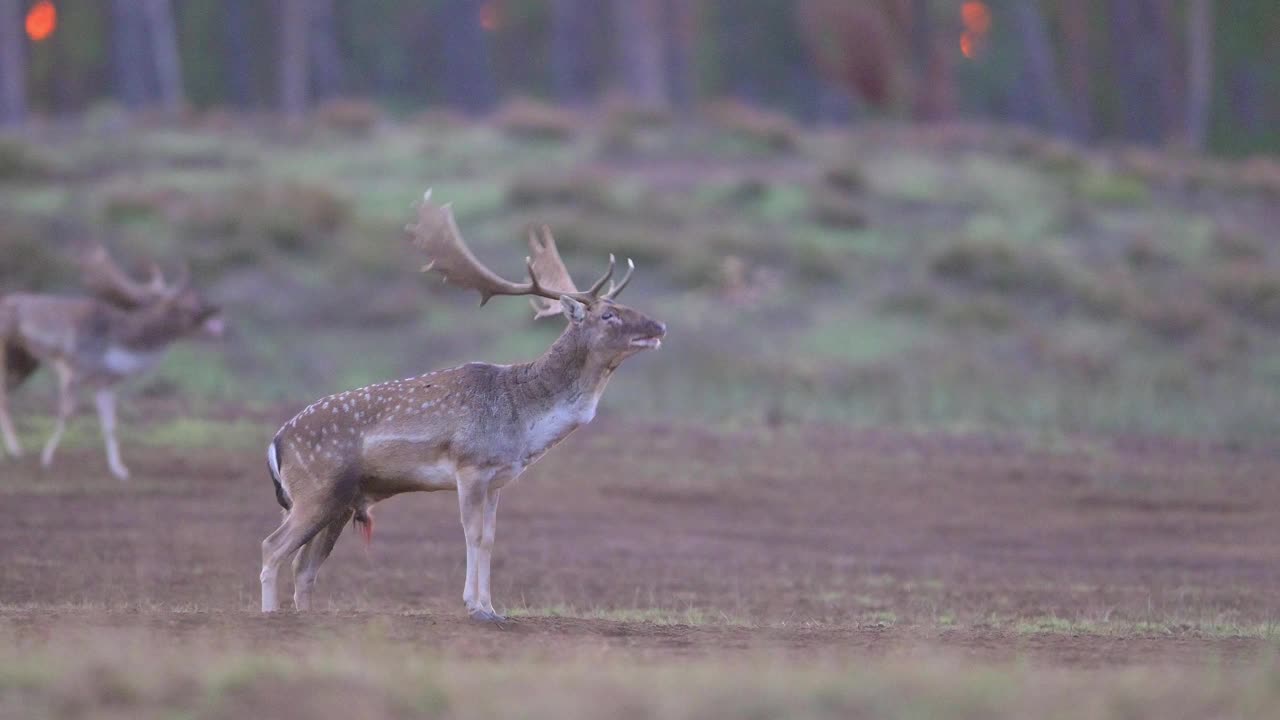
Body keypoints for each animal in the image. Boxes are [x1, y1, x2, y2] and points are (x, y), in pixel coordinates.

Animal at [254, 189, 665, 617]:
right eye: (609, 314)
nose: (659, 327)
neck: (524, 422)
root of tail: (276, 443)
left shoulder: (499, 479)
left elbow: (490, 539)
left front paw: (493, 608)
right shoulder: (469, 466)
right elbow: (471, 534)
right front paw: (475, 607)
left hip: (337, 501)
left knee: (304, 566)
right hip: (315, 491)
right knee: (271, 547)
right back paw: (270, 615)